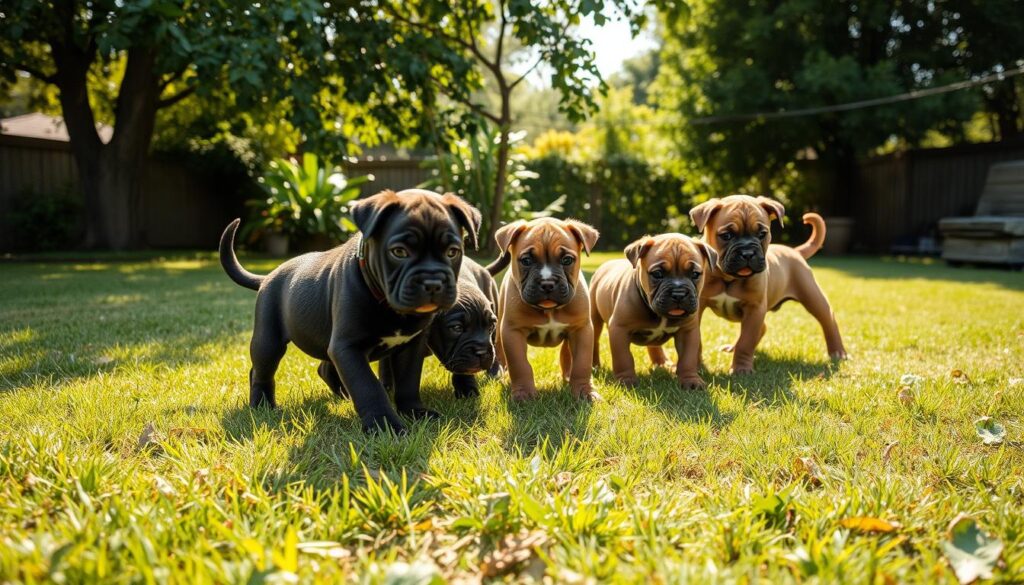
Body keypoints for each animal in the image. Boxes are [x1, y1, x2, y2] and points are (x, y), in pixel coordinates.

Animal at [219, 188, 479, 434]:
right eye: (399, 252)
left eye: (453, 251)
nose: (433, 282)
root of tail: (267, 277)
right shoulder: (347, 347)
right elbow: (368, 386)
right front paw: (385, 426)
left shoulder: (411, 345)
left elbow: (408, 381)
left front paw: (414, 411)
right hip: (269, 340)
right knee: (262, 371)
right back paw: (262, 405)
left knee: (321, 367)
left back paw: (342, 394)